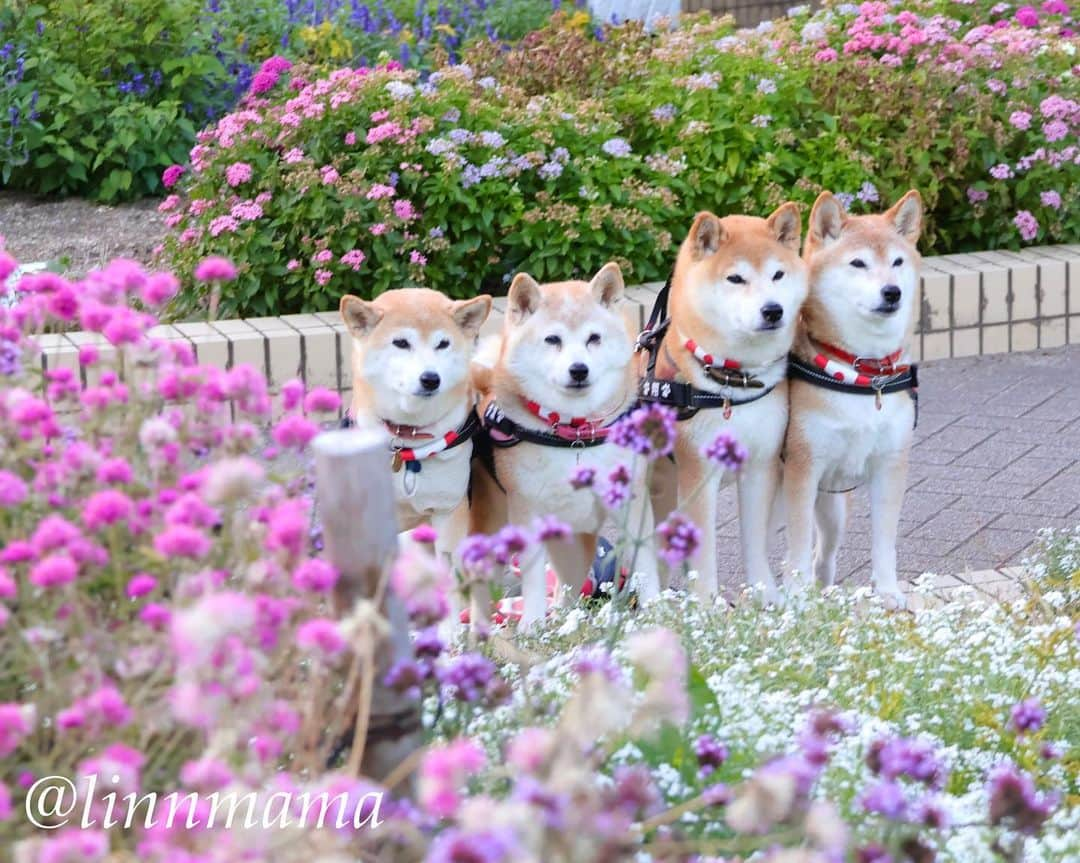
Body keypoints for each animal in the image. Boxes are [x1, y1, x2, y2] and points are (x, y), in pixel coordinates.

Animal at [470, 263, 656, 626]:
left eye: (594, 338)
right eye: (553, 339)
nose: (579, 369)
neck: (575, 436)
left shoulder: (632, 500)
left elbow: (644, 563)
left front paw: (663, 608)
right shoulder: (527, 512)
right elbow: (532, 579)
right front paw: (531, 625)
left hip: (574, 546)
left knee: (567, 590)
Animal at [635, 205, 807, 604]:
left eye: (778, 274)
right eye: (735, 278)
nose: (773, 310)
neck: (731, 384)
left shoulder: (761, 465)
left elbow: (755, 543)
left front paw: (766, 597)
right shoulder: (698, 473)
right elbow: (704, 554)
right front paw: (706, 606)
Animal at [781, 189, 924, 609]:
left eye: (897, 262)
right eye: (858, 263)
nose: (892, 292)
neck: (863, 372)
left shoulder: (890, 465)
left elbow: (884, 544)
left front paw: (889, 591)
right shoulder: (803, 468)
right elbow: (797, 547)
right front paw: (796, 601)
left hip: (832, 510)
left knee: (823, 557)